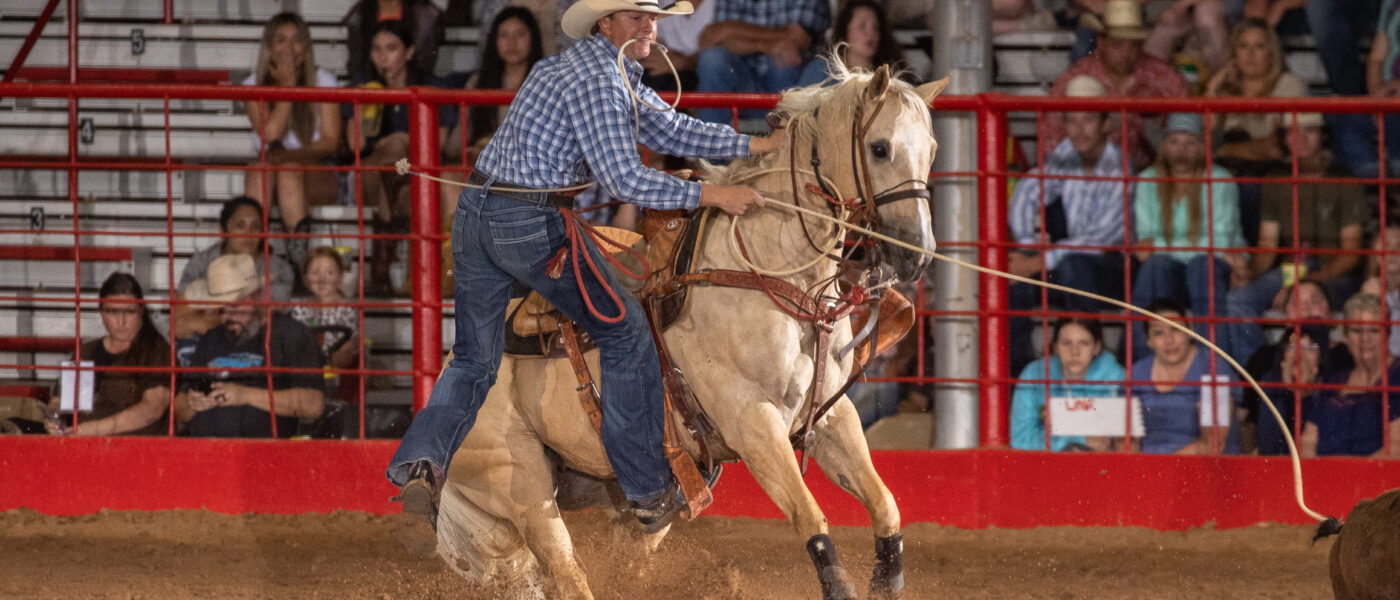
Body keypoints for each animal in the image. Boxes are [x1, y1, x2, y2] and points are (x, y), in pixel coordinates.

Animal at [431, 63, 946, 595]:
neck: (766, 273)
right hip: (519, 480)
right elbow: (810, 516)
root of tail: (452, 368)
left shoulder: (830, 416)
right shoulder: (752, 423)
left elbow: (885, 504)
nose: (917, 253)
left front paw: (887, 580)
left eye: (931, 149)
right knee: (564, 565)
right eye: (880, 147)